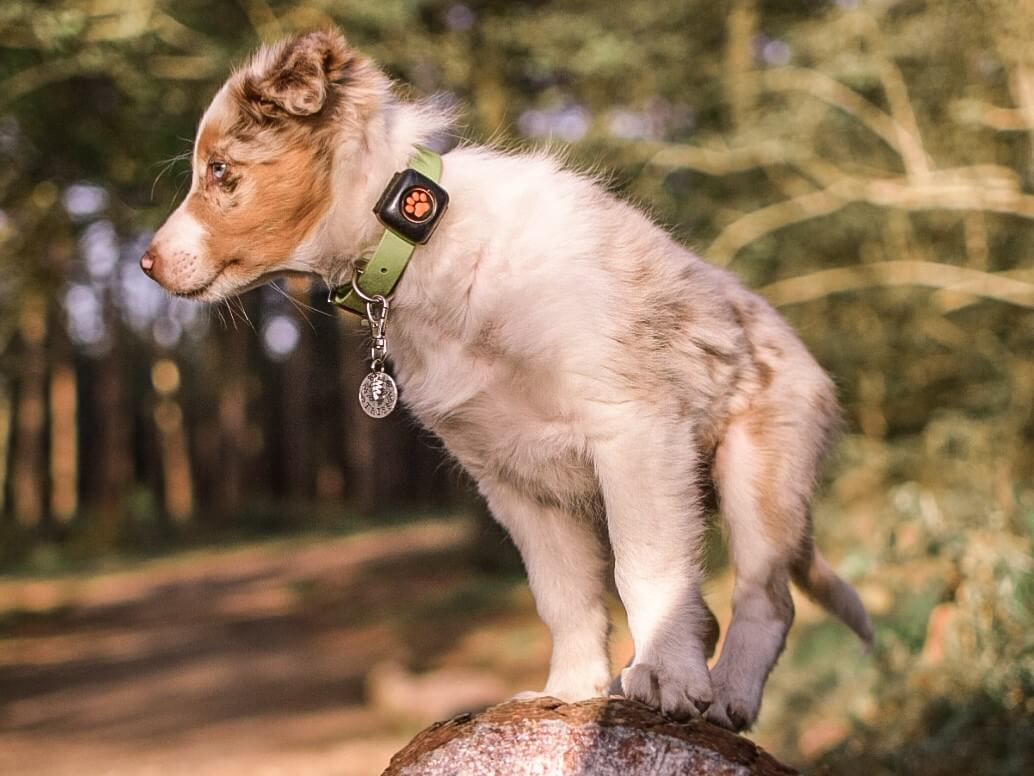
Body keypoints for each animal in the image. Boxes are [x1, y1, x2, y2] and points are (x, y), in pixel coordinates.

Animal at [143, 31, 872, 736]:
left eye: (219, 171)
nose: (146, 265)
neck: (422, 247)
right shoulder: (513, 480)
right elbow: (564, 597)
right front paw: (571, 692)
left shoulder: (635, 431)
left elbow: (646, 566)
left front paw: (666, 674)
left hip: (760, 474)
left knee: (766, 599)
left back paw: (729, 698)